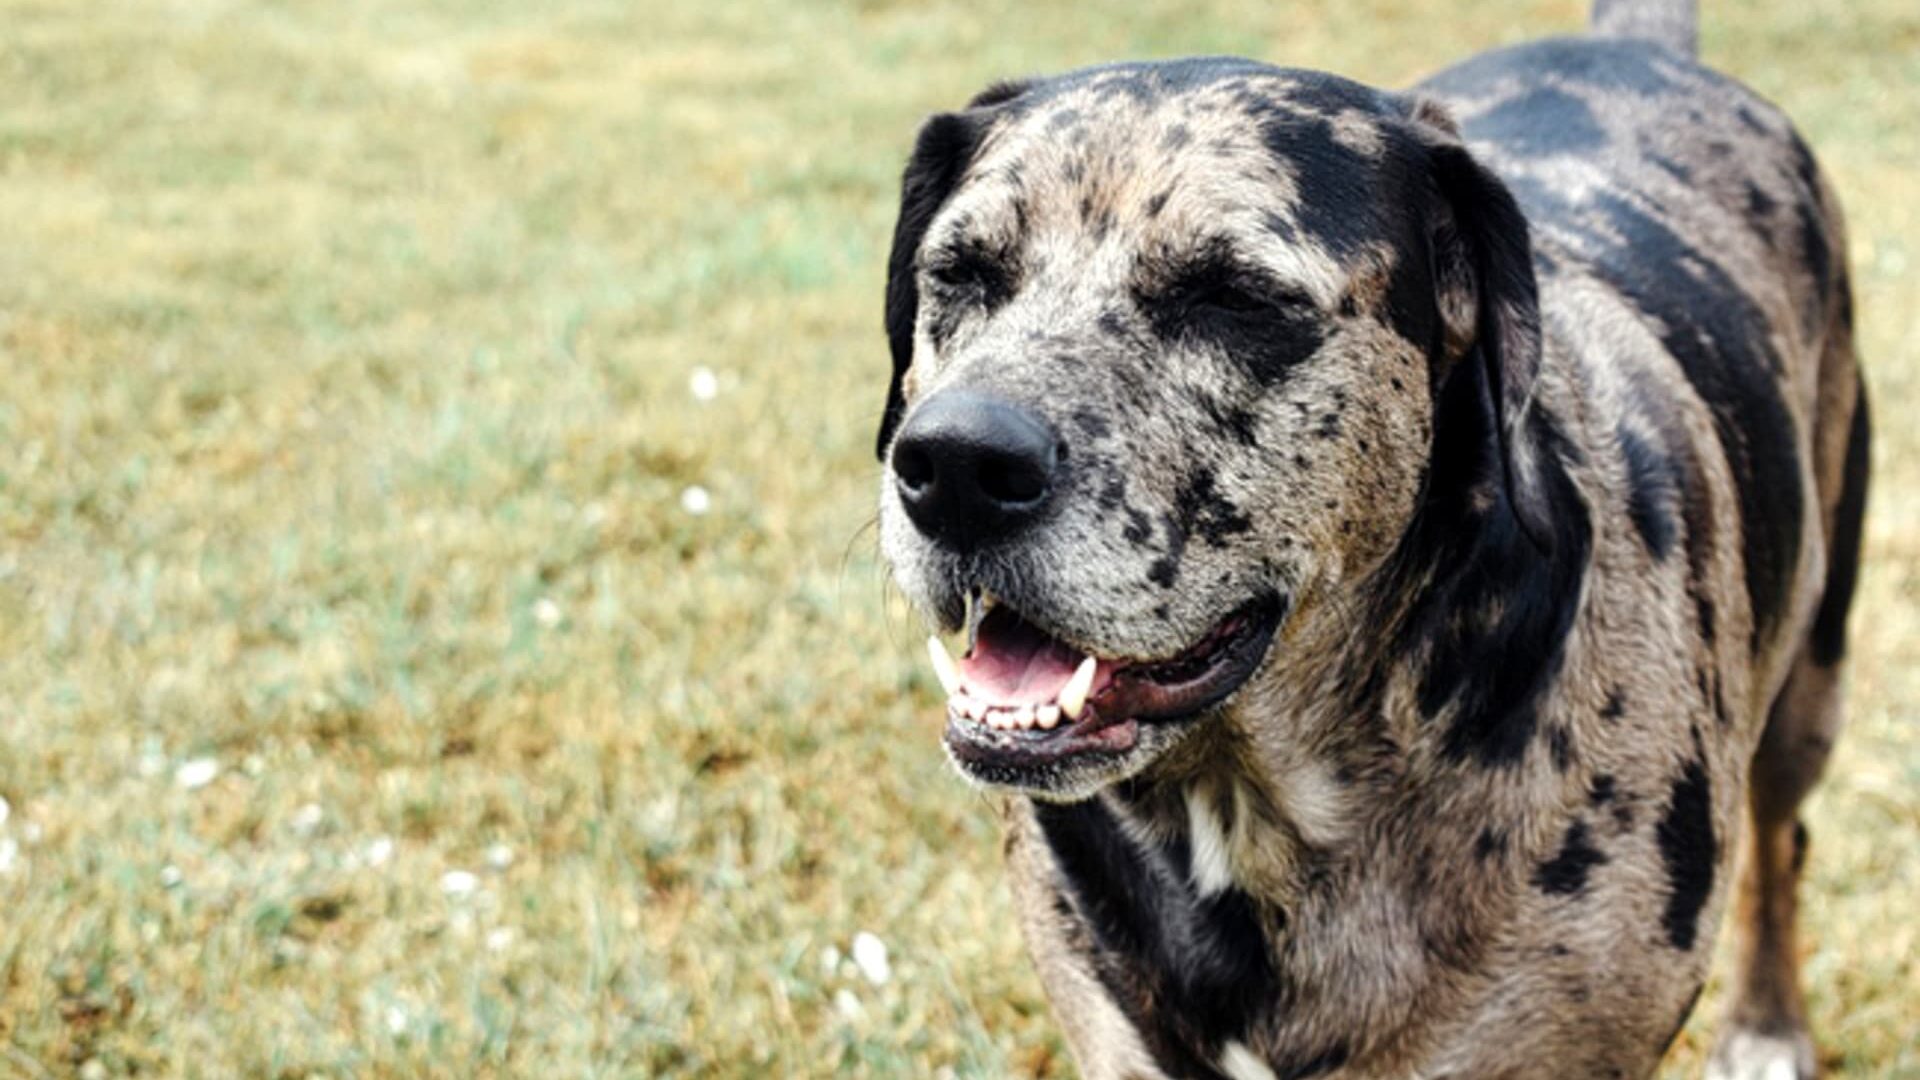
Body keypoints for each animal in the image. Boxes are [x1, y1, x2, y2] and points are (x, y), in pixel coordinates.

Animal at [879, 0, 1866, 1068]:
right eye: (961, 273)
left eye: (1234, 296)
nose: (957, 467)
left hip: (1813, 676)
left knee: (1786, 836)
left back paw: (1767, 1024)